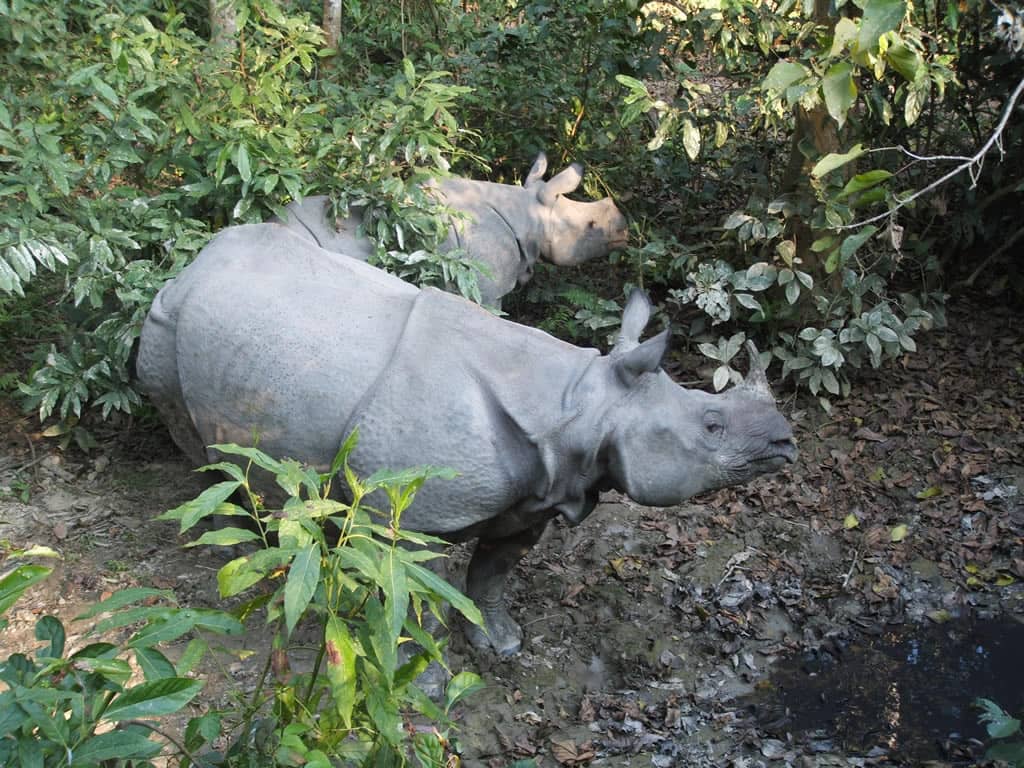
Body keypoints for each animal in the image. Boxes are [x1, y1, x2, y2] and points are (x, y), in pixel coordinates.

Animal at [137, 223, 797, 656]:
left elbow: (492, 572)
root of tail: (195, 263)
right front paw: (418, 669)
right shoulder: (398, 513)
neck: (580, 405)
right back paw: (241, 553)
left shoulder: (539, 490)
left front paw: (498, 645)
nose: (787, 442)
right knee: (197, 447)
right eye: (710, 426)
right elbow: (400, 594)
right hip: (164, 324)